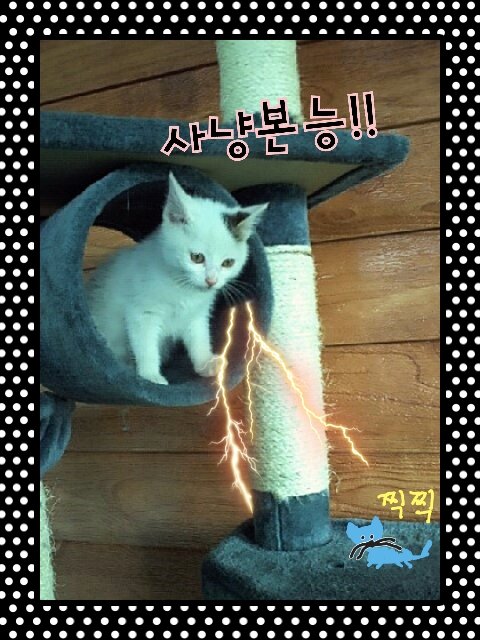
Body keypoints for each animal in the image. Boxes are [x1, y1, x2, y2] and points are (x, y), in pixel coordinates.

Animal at [85, 172, 268, 385]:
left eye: (228, 263)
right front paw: (150, 376)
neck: (183, 289)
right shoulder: (142, 311)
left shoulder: (197, 314)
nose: (211, 281)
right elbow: (146, 345)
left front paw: (205, 363)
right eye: (197, 258)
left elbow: (199, 337)